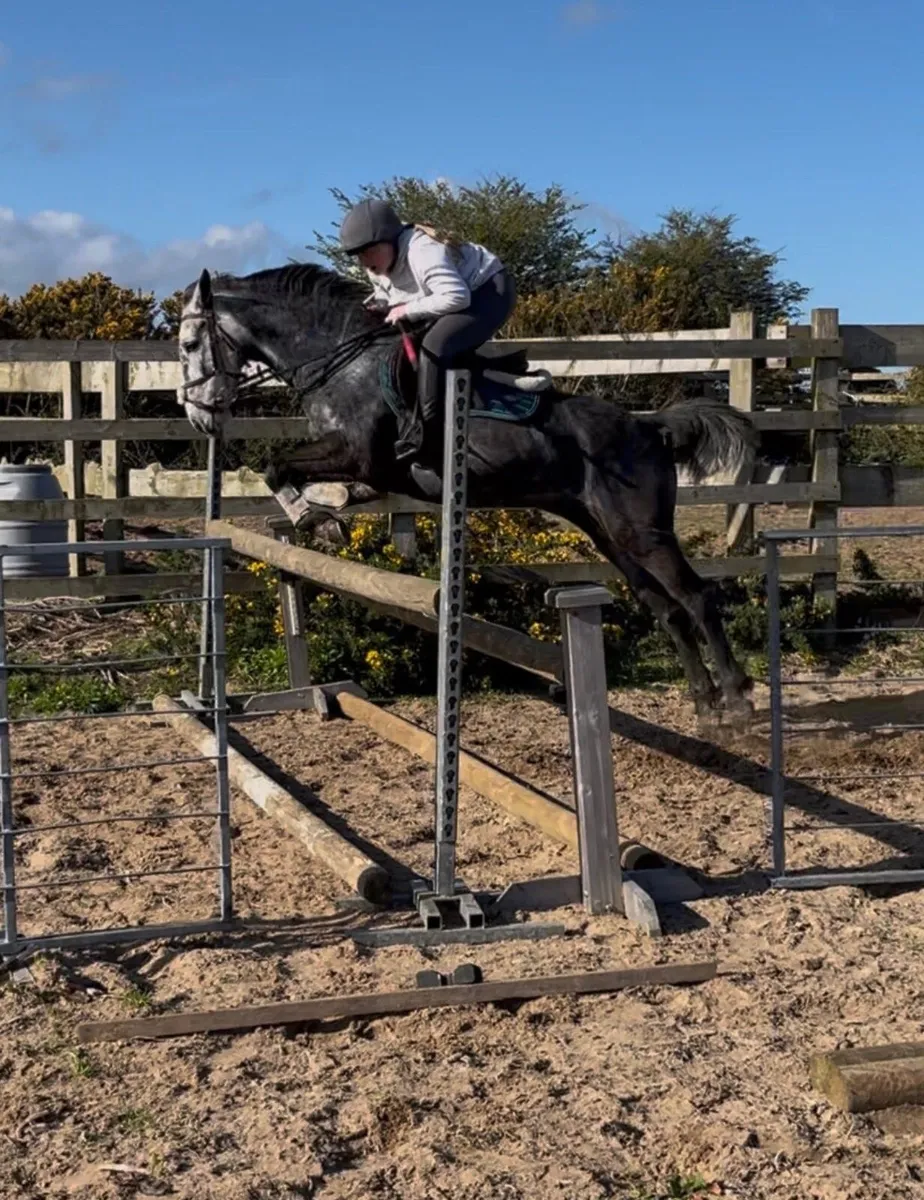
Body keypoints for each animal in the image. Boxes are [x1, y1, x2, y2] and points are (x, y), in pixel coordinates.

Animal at [176, 263, 758, 725]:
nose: (200, 417)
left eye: (188, 345)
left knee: (696, 597)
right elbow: (305, 478)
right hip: (609, 535)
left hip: (641, 531)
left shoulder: (359, 453)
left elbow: (275, 465)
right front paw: (328, 511)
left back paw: (737, 700)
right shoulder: (365, 467)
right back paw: (705, 704)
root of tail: (649, 427)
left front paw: (313, 519)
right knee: (666, 608)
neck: (336, 361)